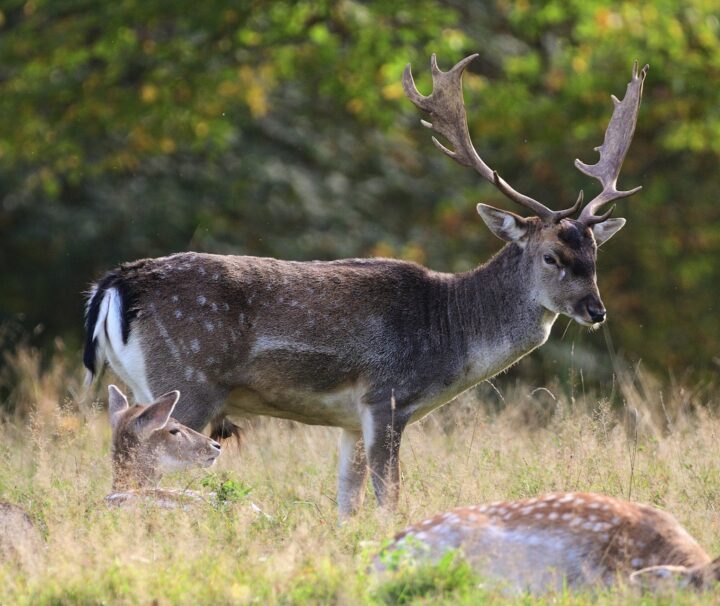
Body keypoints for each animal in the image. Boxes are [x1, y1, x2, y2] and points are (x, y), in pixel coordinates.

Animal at [83, 54, 648, 516]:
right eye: (552, 256)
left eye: (594, 256)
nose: (596, 310)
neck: (450, 332)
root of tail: (114, 284)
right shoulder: (386, 397)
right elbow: (388, 497)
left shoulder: (351, 420)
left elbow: (347, 502)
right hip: (187, 379)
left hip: (138, 385)